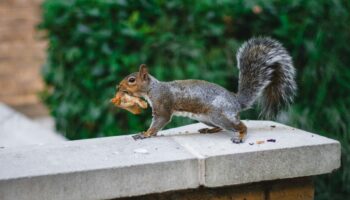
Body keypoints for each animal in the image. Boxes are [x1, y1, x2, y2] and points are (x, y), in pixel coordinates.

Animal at [117, 36, 296, 143]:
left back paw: (240, 136)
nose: (118, 87)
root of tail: (236, 101)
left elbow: (160, 121)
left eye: (132, 80)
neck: (153, 89)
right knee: (220, 126)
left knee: (241, 125)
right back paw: (209, 130)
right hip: (206, 117)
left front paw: (145, 134)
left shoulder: (162, 104)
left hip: (218, 114)